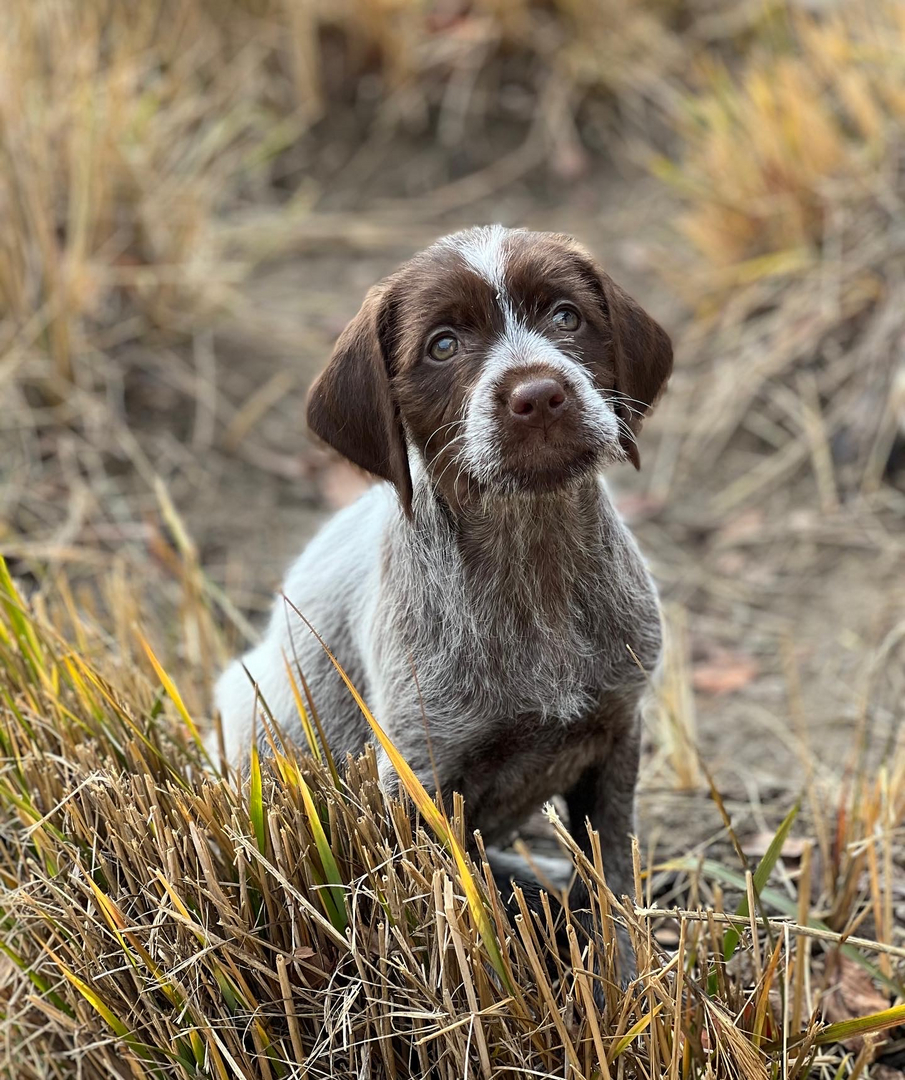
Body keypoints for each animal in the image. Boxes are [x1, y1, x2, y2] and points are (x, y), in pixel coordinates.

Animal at [214, 223, 673, 976]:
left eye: (566, 316)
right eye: (443, 345)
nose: (539, 395)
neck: (531, 555)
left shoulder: (616, 734)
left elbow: (611, 886)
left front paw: (624, 983)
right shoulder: (418, 779)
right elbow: (452, 917)